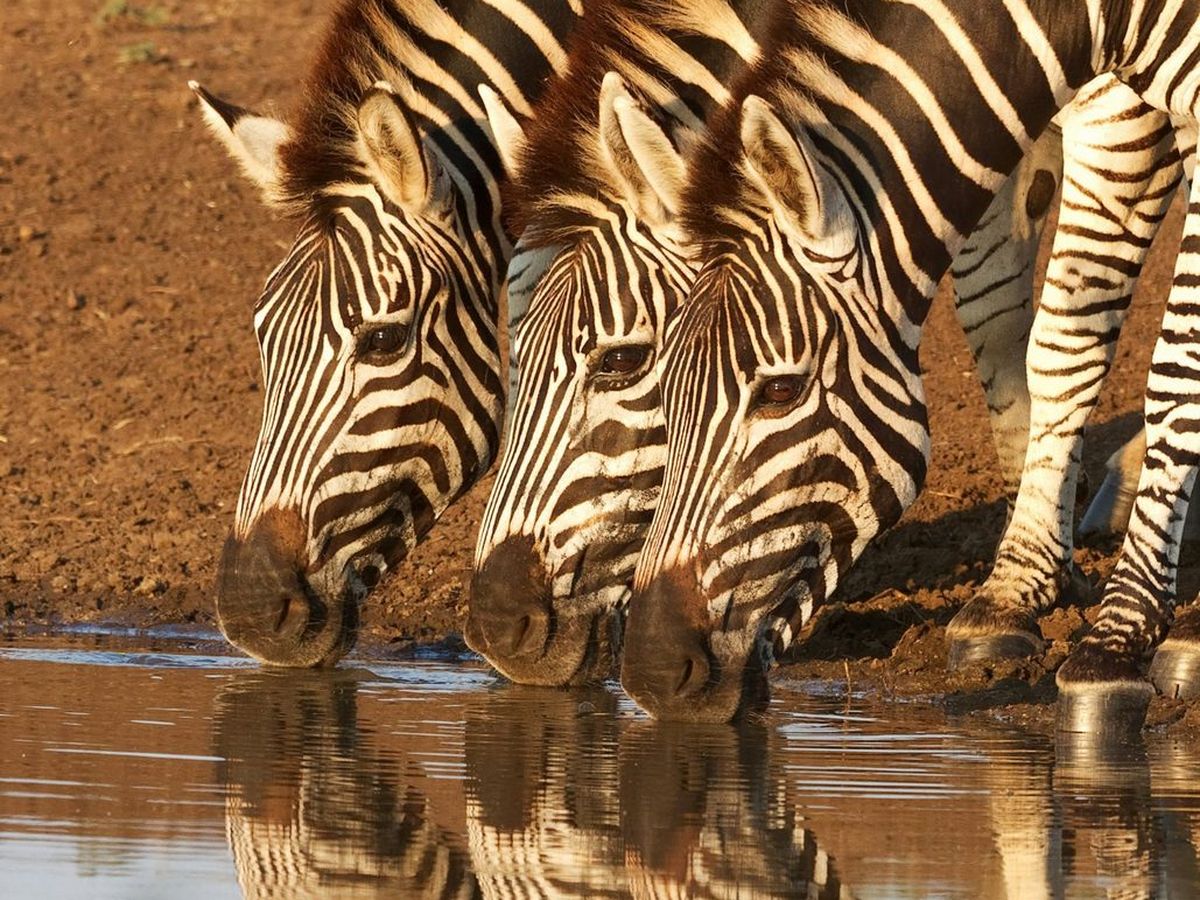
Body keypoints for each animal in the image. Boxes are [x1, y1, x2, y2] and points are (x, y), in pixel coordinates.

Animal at [619, 0, 1200, 728]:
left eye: (781, 390)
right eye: (659, 384)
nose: (651, 671)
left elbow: (1173, 362)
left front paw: (1115, 641)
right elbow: (1061, 339)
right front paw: (1016, 597)